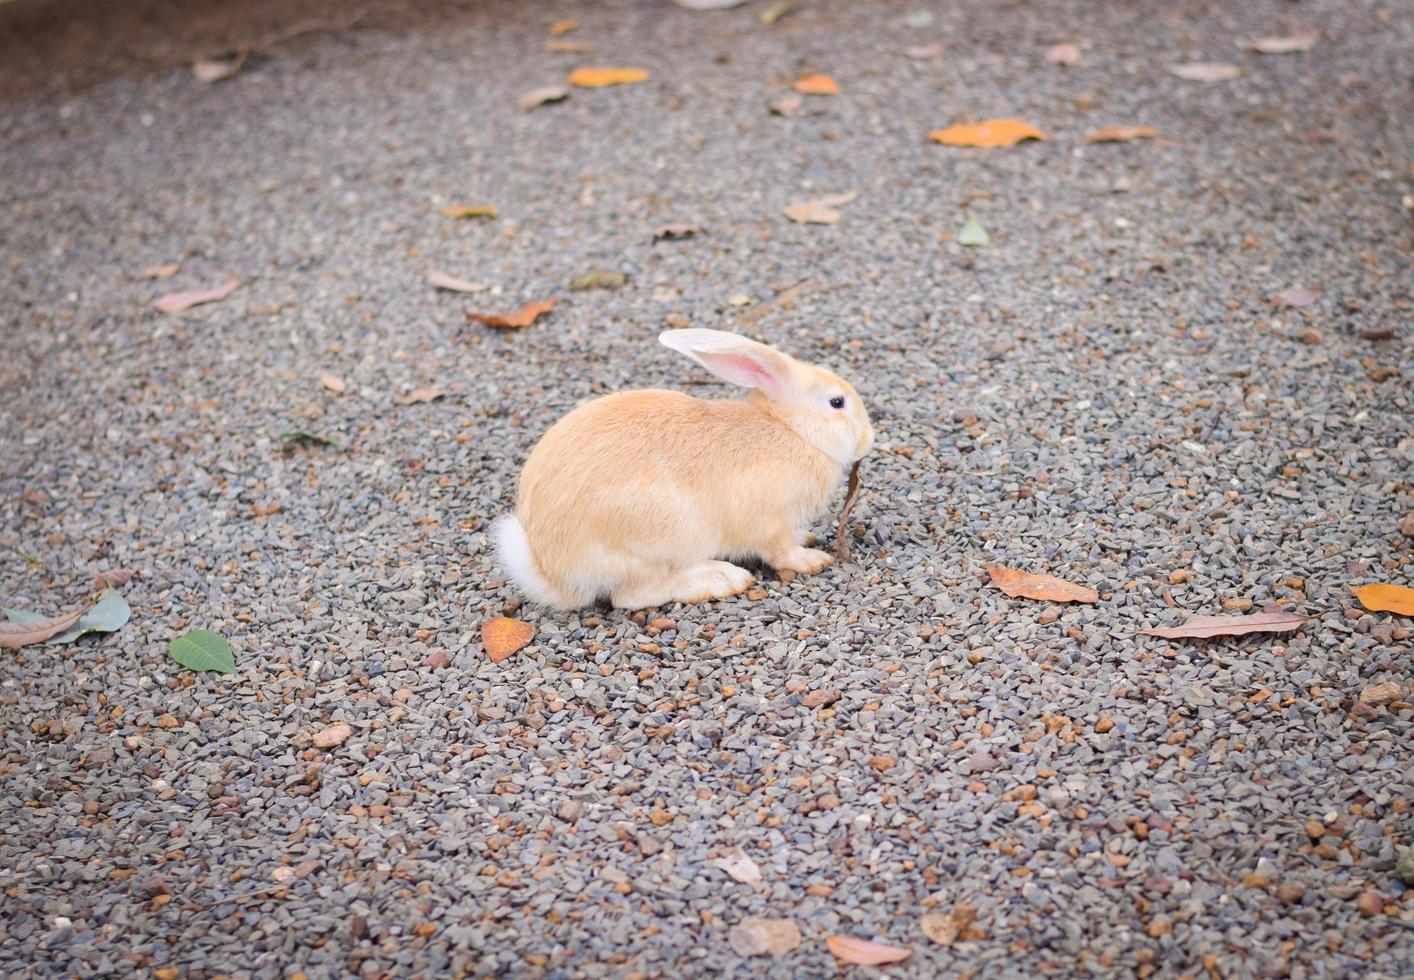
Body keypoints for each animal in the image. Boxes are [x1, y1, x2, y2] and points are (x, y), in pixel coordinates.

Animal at [494, 325, 871, 608]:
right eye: (837, 402)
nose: (869, 438)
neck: (792, 429)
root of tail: (552, 570)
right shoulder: (770, 522)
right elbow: (781, 552)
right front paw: (813, 560)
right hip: (660, 539)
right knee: (630, 596)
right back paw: (721, 579)